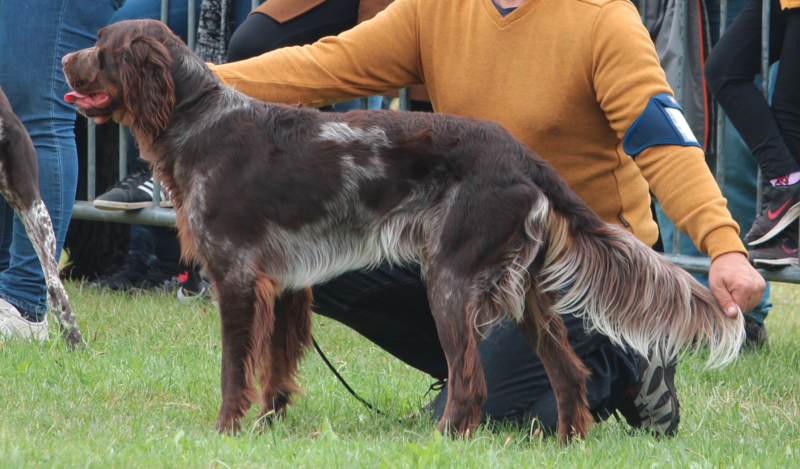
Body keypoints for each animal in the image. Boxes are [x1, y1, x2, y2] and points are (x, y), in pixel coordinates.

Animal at [62, 20, 744, 440]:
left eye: (98, 45)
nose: (65, 59)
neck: (198, 118)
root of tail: (522, 158)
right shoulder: (286, 282)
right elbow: (277, 373)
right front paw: (267, 429)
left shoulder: (235, 277)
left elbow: (236, 371)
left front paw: (228, 431)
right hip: (526, 293)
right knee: (569, 373)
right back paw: (567, 440)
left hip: (451, 278)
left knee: (470, 384)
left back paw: (447, 439)